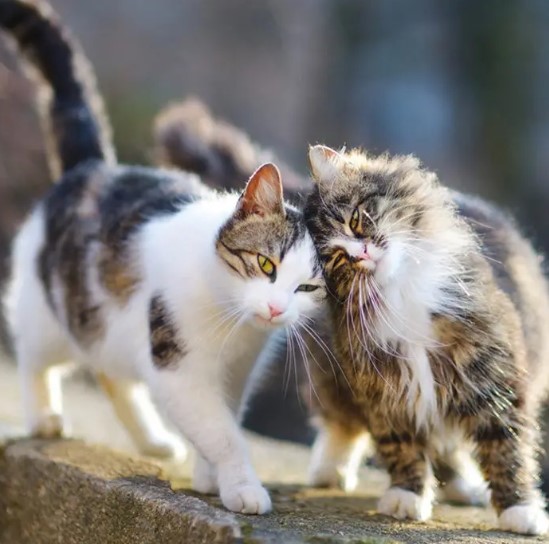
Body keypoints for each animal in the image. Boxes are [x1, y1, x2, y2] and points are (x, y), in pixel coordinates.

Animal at [0, 0, 326, 516]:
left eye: (309, 287)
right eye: (266, 265)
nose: (277, 309)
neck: (231, 324)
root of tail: (94, 166)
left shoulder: (236, 373)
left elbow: (223, 422)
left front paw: (209, 476)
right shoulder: (178, 369)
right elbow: (222, 433)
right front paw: (242, 486)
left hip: (112, 329)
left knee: (112, 374)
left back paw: (153, 441)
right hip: (49, 310)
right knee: (35, 358)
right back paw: (45, 416)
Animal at [302, 144, 548, 536]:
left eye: (355, 220)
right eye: (338, 260)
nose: (361, 253)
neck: (401, 292)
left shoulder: (491, 377)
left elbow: (505, 448)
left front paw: (519, 510)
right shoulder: (384, 388)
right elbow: (400, 446)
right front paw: (407, 496)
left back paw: (466, 487)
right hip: (331, 374)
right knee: (341, 424)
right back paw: (330, 469)